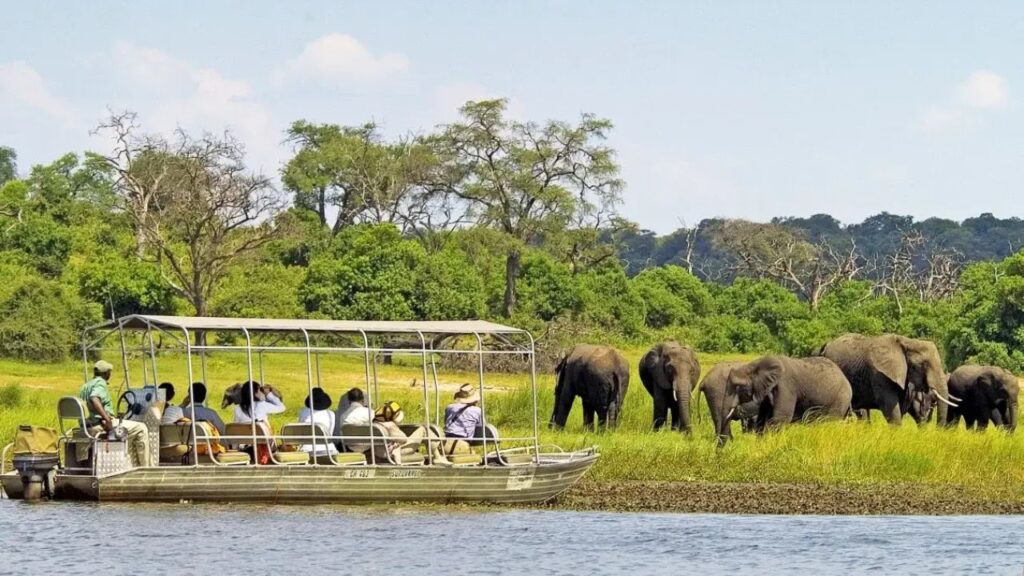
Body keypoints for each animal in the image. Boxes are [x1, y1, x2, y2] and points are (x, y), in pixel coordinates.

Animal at [724, 356, 852, 430]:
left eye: (738, 387)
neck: (756, 364)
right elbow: (763, 417)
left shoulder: (786, 385)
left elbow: (780, 418)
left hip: (840, 397)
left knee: (830, 421)